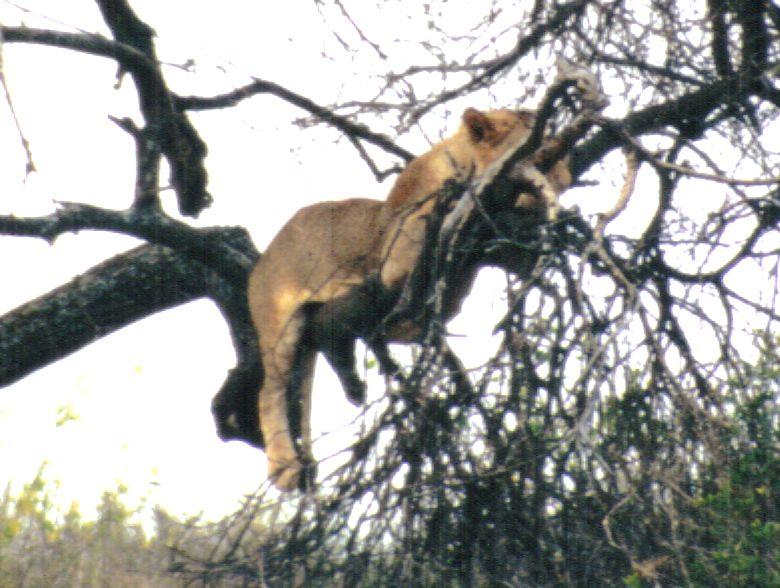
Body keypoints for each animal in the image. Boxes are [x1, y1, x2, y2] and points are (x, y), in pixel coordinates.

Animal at [247, 107, 568, 492]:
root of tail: (264, 257)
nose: (564, 181)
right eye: (538, 152)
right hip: (278, 326)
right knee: (271, 392)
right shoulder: (399, 253)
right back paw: (285, 468)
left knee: (314, 366)